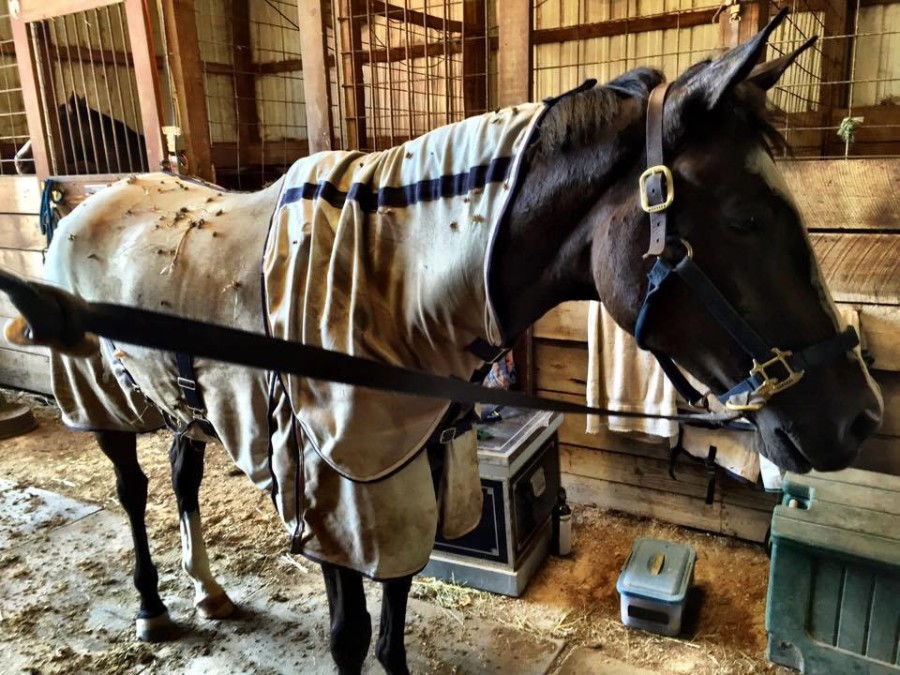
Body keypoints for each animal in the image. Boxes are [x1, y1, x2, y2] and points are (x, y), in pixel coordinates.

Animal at [1, 11, 884, 675]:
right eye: (743, 216)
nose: (860, 417)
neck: (393, 287)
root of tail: (89, 200)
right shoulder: (341, 501)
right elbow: (352, 637)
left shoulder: (415, 486)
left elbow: (394, 628)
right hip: (101, 398)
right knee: (133, 492)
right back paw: (153, 605)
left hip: (186, 401)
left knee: (182, 475)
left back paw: (208, 591)